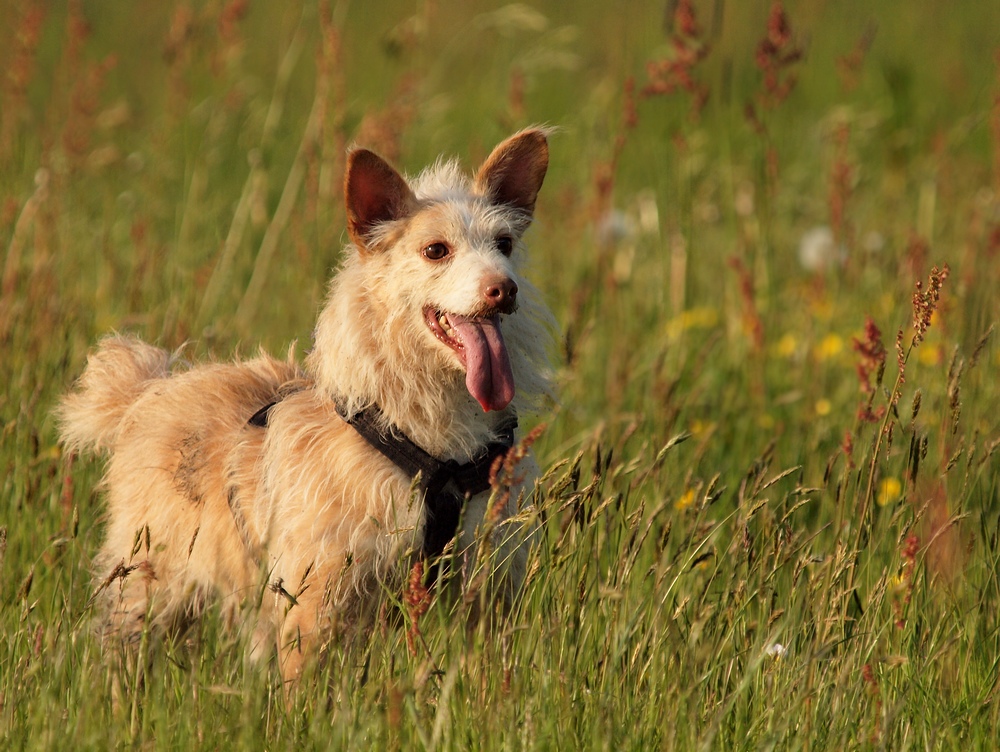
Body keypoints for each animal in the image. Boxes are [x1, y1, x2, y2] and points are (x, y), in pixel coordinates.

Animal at [56, 128, 556, 680]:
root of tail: (150, 388)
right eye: (435, 251)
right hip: (148, 584)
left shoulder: (489, 587)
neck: (434, 443)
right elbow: (307, 685)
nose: (503, 288)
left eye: (504, 245)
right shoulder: (317, 599)